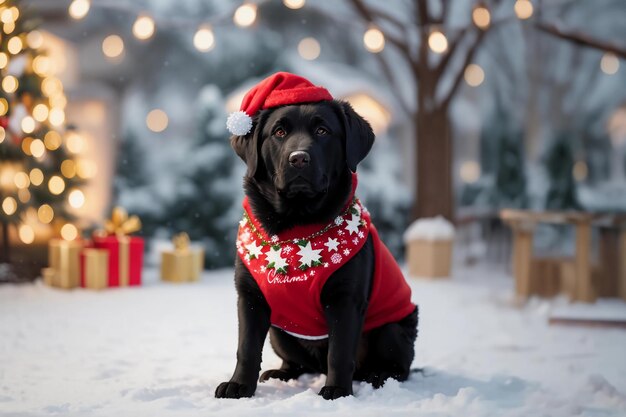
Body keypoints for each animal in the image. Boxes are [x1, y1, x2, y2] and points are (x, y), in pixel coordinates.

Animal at [216, 100, 420, 400]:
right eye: (278, 132)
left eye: (323, 131)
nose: (299, 158)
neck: (295, 230)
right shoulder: (250, 296)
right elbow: (247, 348)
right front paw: (239, 385)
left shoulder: (345, 299)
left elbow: (340, 352)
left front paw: (337, 390)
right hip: (279, 332)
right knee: (298, 363)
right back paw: (280, 373)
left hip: (391, 329)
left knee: (399, 367)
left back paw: (378, 376)